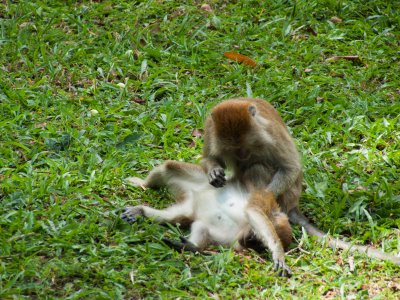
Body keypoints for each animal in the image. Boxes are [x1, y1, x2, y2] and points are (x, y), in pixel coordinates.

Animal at [120, 161, 292, 278]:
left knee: (181, 217)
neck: (243, 227)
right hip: (201, 177)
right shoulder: (264, 202)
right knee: (169, 167)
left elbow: (204, 228)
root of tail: (195, 193)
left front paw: (192, 247)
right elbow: (254, 212)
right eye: (256, 239)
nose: (249, 240)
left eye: (257, 244)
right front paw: (278, 252)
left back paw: (143, 212)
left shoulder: (232, 239)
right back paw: (143, 184)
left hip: (188, 206)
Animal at [202, 98, 400, 264]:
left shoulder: (270, 134)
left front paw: (263, 199)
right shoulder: (210, 129)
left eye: (246, 147)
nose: (243, 156)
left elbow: (290, 168)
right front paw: (214, 172)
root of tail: (293, 204)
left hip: (285, 197)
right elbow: (210, 158)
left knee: (258, 167)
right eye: (234, 151)